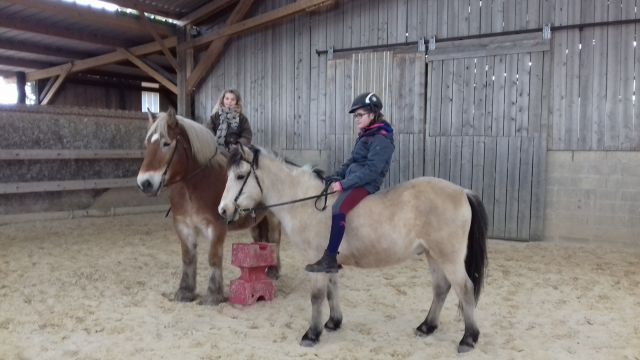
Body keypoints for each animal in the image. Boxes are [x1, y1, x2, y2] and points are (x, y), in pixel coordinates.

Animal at [138, 109, 280, 304]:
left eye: (166, 143)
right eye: (147, 144)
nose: (145, 183)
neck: (194, 185)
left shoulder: (217, 226)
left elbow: (213, 258)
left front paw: (213, 295)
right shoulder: (183, 226)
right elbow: (188, 258)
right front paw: (185, 291)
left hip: (274, 217)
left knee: (274, 240)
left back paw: (274, 271)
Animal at [218, 145, 488, 352]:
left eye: (240, 176)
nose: (223, 210)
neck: (305, 203)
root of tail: (462, 192)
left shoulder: (315, 260)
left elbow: (317, 296)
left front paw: (311, 334)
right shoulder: (326, 261)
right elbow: (332, 290)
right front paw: (333, 323)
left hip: (449, 257)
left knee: (465, 289)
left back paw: (468, 339)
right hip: (433, 255)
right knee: (441, 288)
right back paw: (427, 327)